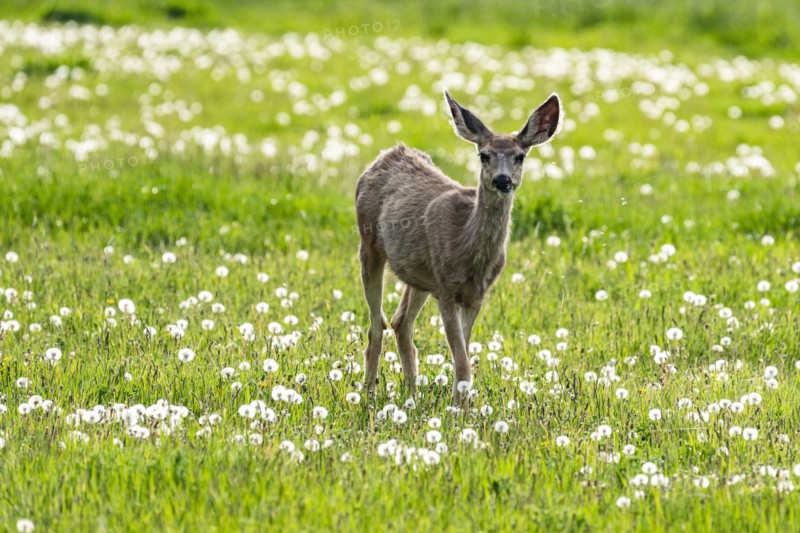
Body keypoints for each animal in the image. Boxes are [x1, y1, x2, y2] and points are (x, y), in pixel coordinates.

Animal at [355, 89, 562, 401]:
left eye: (520, 157)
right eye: (483, 155)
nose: (502, 180)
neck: (469, 252)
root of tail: (387, 154)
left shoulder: (476, 294)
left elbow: (463, 355)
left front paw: (461, 404)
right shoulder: (446, 288)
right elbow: (462, 361)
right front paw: (458, 407)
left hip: (418, 274)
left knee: (400, 322)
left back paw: (412, 392)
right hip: (368, 247)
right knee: (376, 327)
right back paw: (369, 392)